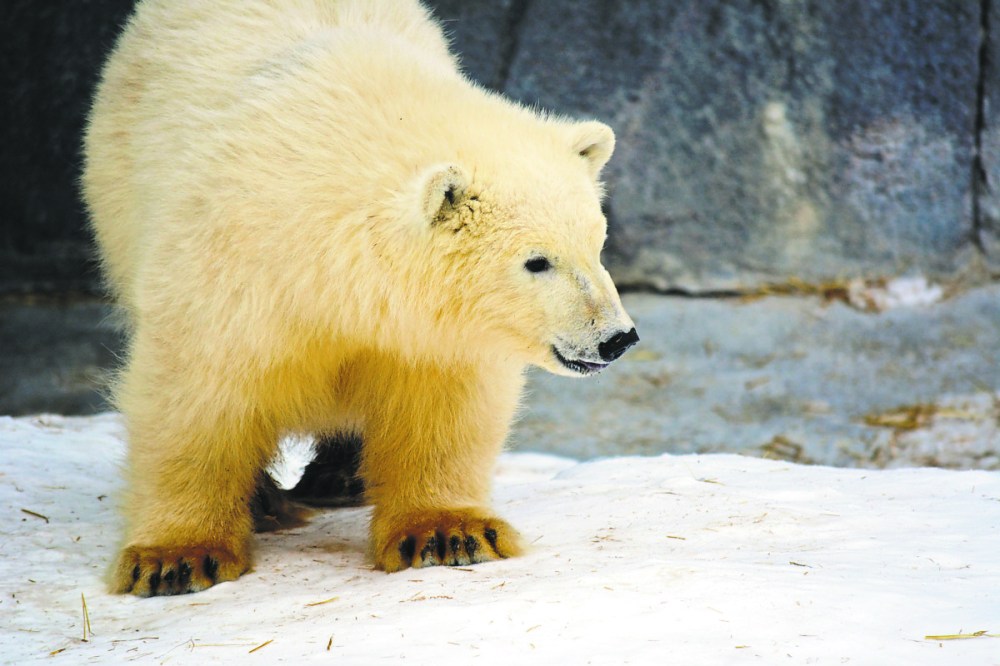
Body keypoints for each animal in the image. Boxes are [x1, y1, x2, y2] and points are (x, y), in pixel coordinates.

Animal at [82, 0, 638, 597]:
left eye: (596, 245)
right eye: (537, 261)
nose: (616, 338)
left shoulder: (428, 327)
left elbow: (442, 400)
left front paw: (451, 533)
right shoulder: (230, 268)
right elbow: (196, 392)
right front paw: (175, 559)